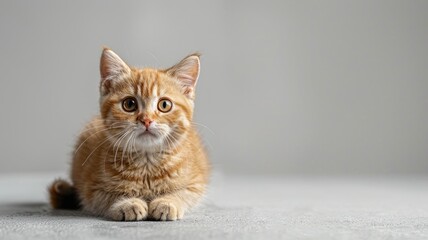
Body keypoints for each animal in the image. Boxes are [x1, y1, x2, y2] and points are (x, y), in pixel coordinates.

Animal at [49, 48, 210, 221]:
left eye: (164, 105)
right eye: (129, 104)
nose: (146, 120)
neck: (147, 164)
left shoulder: (196, 183)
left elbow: (184, 194)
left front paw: (168, 202)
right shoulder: (91, 189)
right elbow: (109, 196)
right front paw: (128, 203)